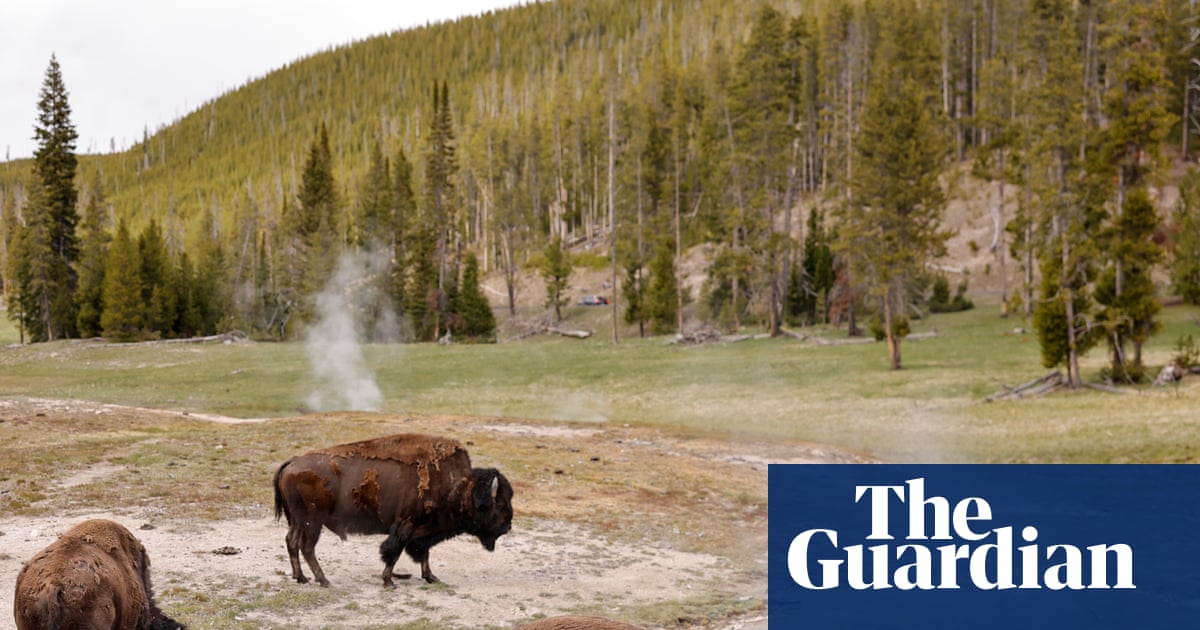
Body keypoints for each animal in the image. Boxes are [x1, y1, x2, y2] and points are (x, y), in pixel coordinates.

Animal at [273, 432, 514, 588]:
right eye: (497, 504)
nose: (507, 526)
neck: (457, 486)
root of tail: (292, 462)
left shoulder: (423, 529)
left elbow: (424, 553)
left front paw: (431, 577)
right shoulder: (405, 526)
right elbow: (394, 552)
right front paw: (389, 581)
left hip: (296, 521)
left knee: (291, 542)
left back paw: (301, 577)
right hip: (312, 523)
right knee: (306, 547)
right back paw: (323, 580)